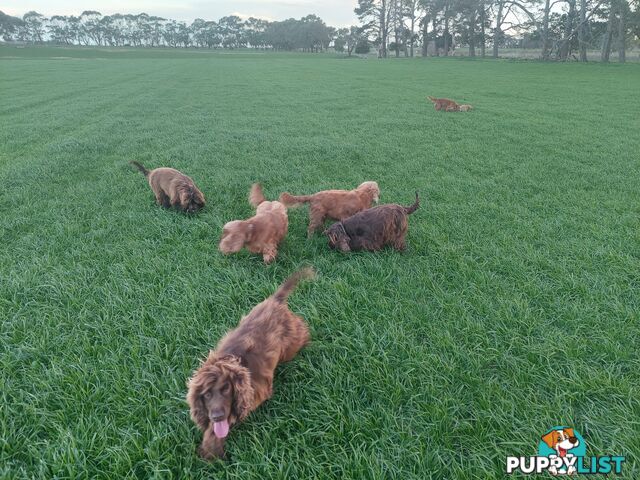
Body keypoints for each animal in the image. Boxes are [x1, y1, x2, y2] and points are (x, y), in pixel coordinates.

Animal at [185, 268, 316, 460]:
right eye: (206, 394)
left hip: (291, 341)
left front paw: (212, 449)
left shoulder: (256, 391)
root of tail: (274, 300)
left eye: (226, 388)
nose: (216, 417)